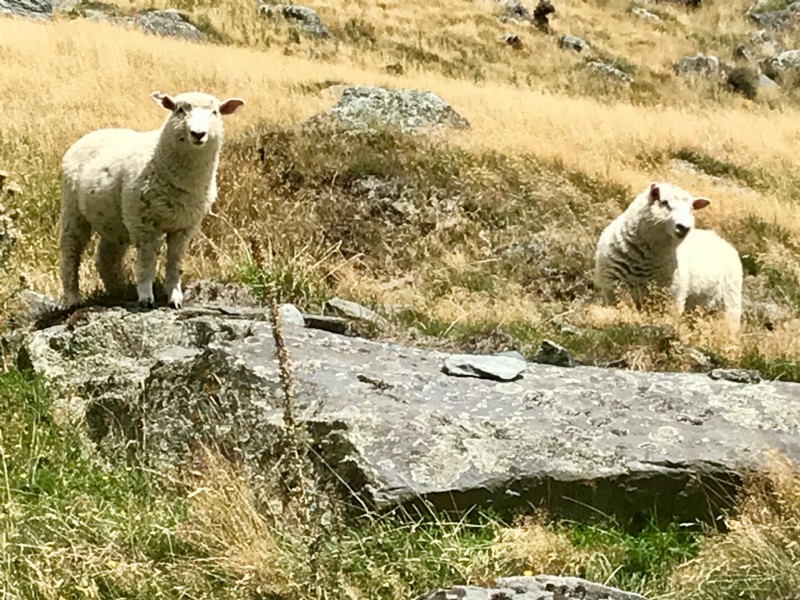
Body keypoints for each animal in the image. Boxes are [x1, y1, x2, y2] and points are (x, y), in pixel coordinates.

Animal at [60, 91, 244, 312]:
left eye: (215, 112)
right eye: (179, 110)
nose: (198, 134)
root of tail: (94, 133)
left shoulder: (185, 226)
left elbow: (175, 261)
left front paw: (175, 296)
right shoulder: (144, 223)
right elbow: (147, 261)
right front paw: (146, 296)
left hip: (115, 220)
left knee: (106, 256)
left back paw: (118, 291)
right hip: (73, 210)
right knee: (70, 251)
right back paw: (73, 298)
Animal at [592, 183, 744, 332]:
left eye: (691, 209)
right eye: (664, 202)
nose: (684, 228)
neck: (645, 260)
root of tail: (722, 240)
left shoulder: (671, 298)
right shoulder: (614, 291)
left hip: (729, 303)